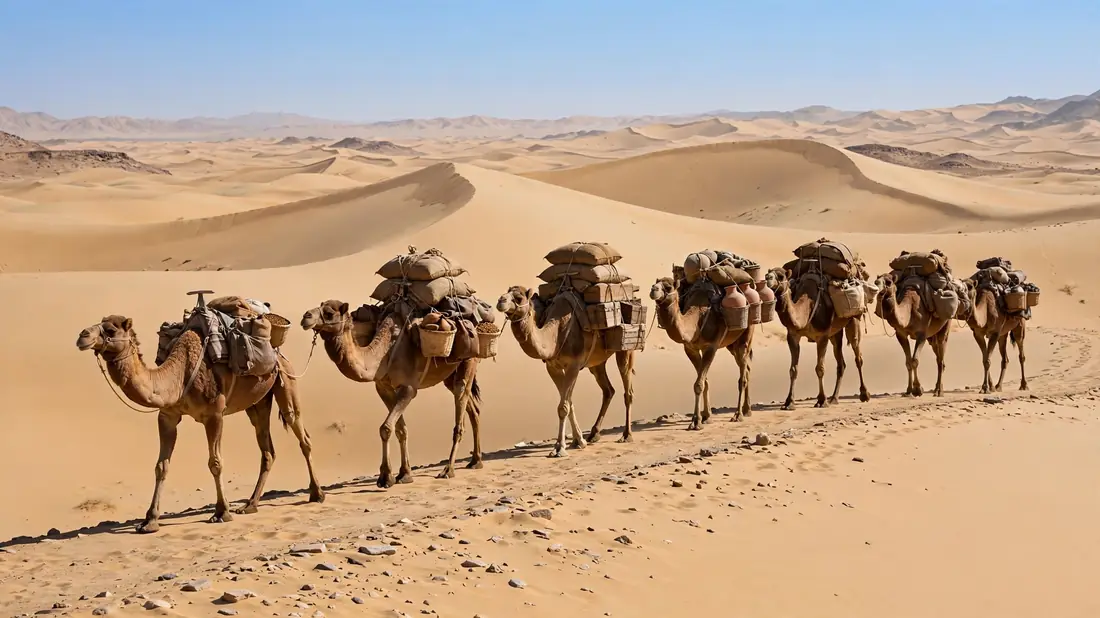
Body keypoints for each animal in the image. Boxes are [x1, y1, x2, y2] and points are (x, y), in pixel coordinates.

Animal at [75, 315, 324, 534]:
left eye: (110, 330)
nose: (82, 335)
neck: (178, 374)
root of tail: (277, 352)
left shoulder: (214, 414)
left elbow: (215, 463)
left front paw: (222, 512)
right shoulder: (167, 416)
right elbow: (161, 466)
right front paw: (150, 520)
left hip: (287, 382)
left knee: (302, 434)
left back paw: (317, 494)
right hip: (257, 402)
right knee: (267, 448)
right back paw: (250, 504)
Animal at [300, 300, 483, 487]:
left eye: (329, 313)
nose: (306, 317)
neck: (384, 353)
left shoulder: (409, 388)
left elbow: (386, 427)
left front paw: (386, 477)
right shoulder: (383, 387)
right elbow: (400, 429)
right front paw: (404, 473)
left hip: (470, 360)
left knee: (460, 402)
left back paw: (448, 470)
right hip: (449, 374)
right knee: (472, 408)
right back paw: (476, 460)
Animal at [496, 287, 636, 456]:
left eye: (518, 298)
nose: (500, 301)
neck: (555, 335)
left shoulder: (573, 366)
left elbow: (563, 407)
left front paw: (560, 448)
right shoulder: (553, 368)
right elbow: (568, 402)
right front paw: (579, 441)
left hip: (625, 349)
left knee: (627, 390)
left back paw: (627, 435)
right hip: (596, 362)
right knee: (608, 390)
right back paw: (594, 434)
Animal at [649, 277, 754, 428]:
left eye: (668, 287)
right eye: (654, 284)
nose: (653, 290)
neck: (696, 320)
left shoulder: (711, 347)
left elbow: (699, 384)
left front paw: (696, 422)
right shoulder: (691, 349)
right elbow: (704, 381)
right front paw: (706, 416)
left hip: (747, 333)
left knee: (743, 376)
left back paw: (738, 415)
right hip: (731, 344)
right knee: (746, 368)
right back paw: (747, 410)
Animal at [764, 267, 870, 410]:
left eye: (781, 276)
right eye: (768, 273)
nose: (767, 278)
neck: (806, 308)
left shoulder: (822, 336)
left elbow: (820, 368)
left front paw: (821, 400)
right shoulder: (793, 335)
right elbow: (793, 369)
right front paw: (789, 402)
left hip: (853, 320)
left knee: (858, 356)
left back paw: (864, 394)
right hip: (835, 333)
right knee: (841, 363)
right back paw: (834, 398)